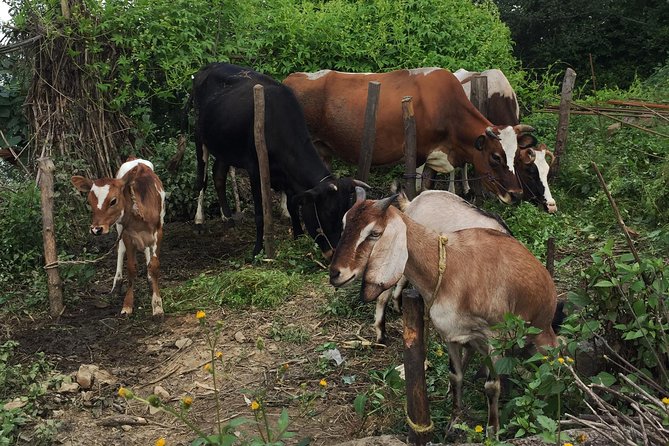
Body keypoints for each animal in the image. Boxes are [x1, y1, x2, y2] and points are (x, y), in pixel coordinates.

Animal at [71, 157, 166, 318]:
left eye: (113, 201)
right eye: (89, 201)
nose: (96, 229)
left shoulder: (158, 232)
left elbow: (154, 266)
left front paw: (157, 305)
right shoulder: (127, 234)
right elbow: (131, 268)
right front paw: (127, 305)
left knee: (147, 251)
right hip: (118, 227)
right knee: (120, 250)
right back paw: (117, 282)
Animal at [188, 62, 366, 258]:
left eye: (345, 215)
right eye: (327, 213)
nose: (334, 253)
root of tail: (209, 66)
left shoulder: (287, 175)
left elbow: (292, 205)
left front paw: (298, 237)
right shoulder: (255, 169)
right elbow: (260, 214)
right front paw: (258, 250)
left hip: (224, 146)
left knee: (218, 175)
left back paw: (227, 218)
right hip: (200, 136)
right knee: (202, 180)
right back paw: (199, 221)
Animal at [282, 68, 532, 206]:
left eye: (517, 157)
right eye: (496, 157)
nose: (517, 194)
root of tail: (292, 78)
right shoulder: (418, 153)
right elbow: (420, 186)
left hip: (321, 147)